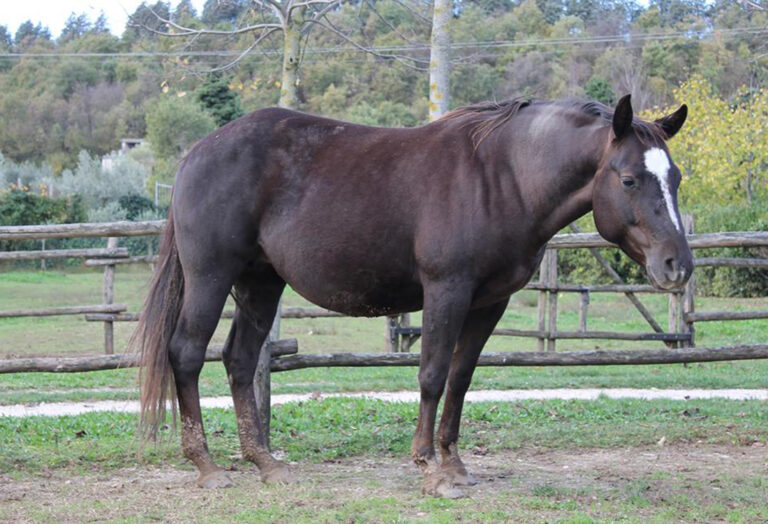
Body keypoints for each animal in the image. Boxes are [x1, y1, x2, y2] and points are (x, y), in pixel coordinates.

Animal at [134, 94, 692, 498]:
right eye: (629, 179)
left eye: (676, 177)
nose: (678, 266)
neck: (502, 177)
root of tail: (197, 152)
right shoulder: (446, 291)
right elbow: (431, 375)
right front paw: (430, 469)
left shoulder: (489, 303)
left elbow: (461, 380)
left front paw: (456, 464)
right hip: (211, 276)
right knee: (187, 353)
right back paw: (207, 466)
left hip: (261, 282)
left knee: (239, 358)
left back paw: (266, 463)